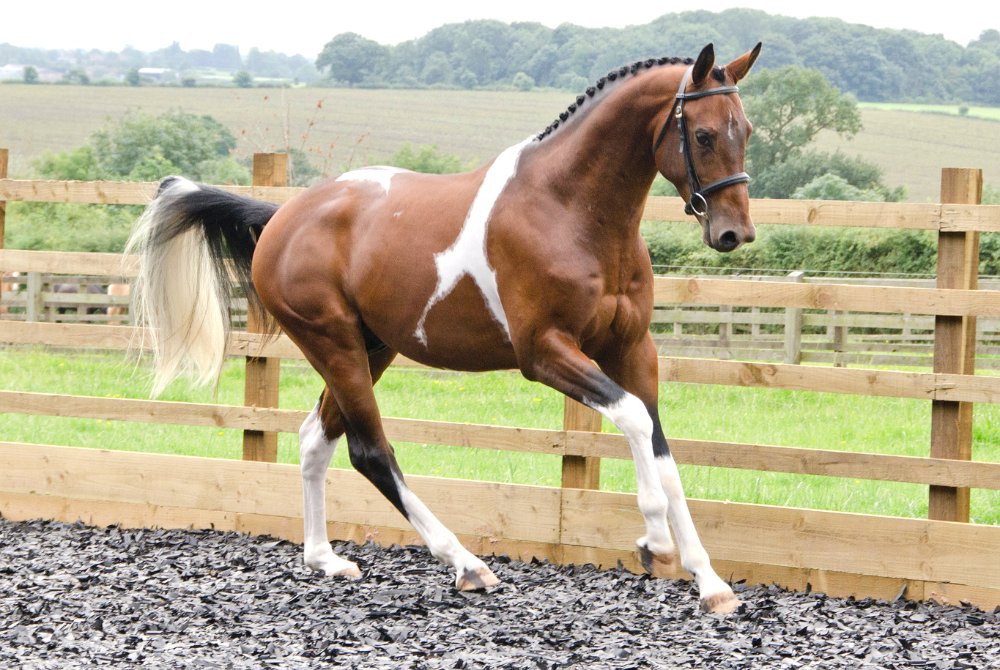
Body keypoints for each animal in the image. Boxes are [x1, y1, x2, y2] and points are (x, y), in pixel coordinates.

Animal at [126, 42, 761, 614]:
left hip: (370, 348)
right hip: (334, 344)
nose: (734, 233)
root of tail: (284, 215)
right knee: (370, 451)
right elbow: (633, 419)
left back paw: (326, 559)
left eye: (747, 129)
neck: (569, 210)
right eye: (704, 135)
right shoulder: (545, 353)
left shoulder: (632, 350)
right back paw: (468, 565)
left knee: (315, 438)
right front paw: (653, 542)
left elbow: (660, 449)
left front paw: (710, 583)